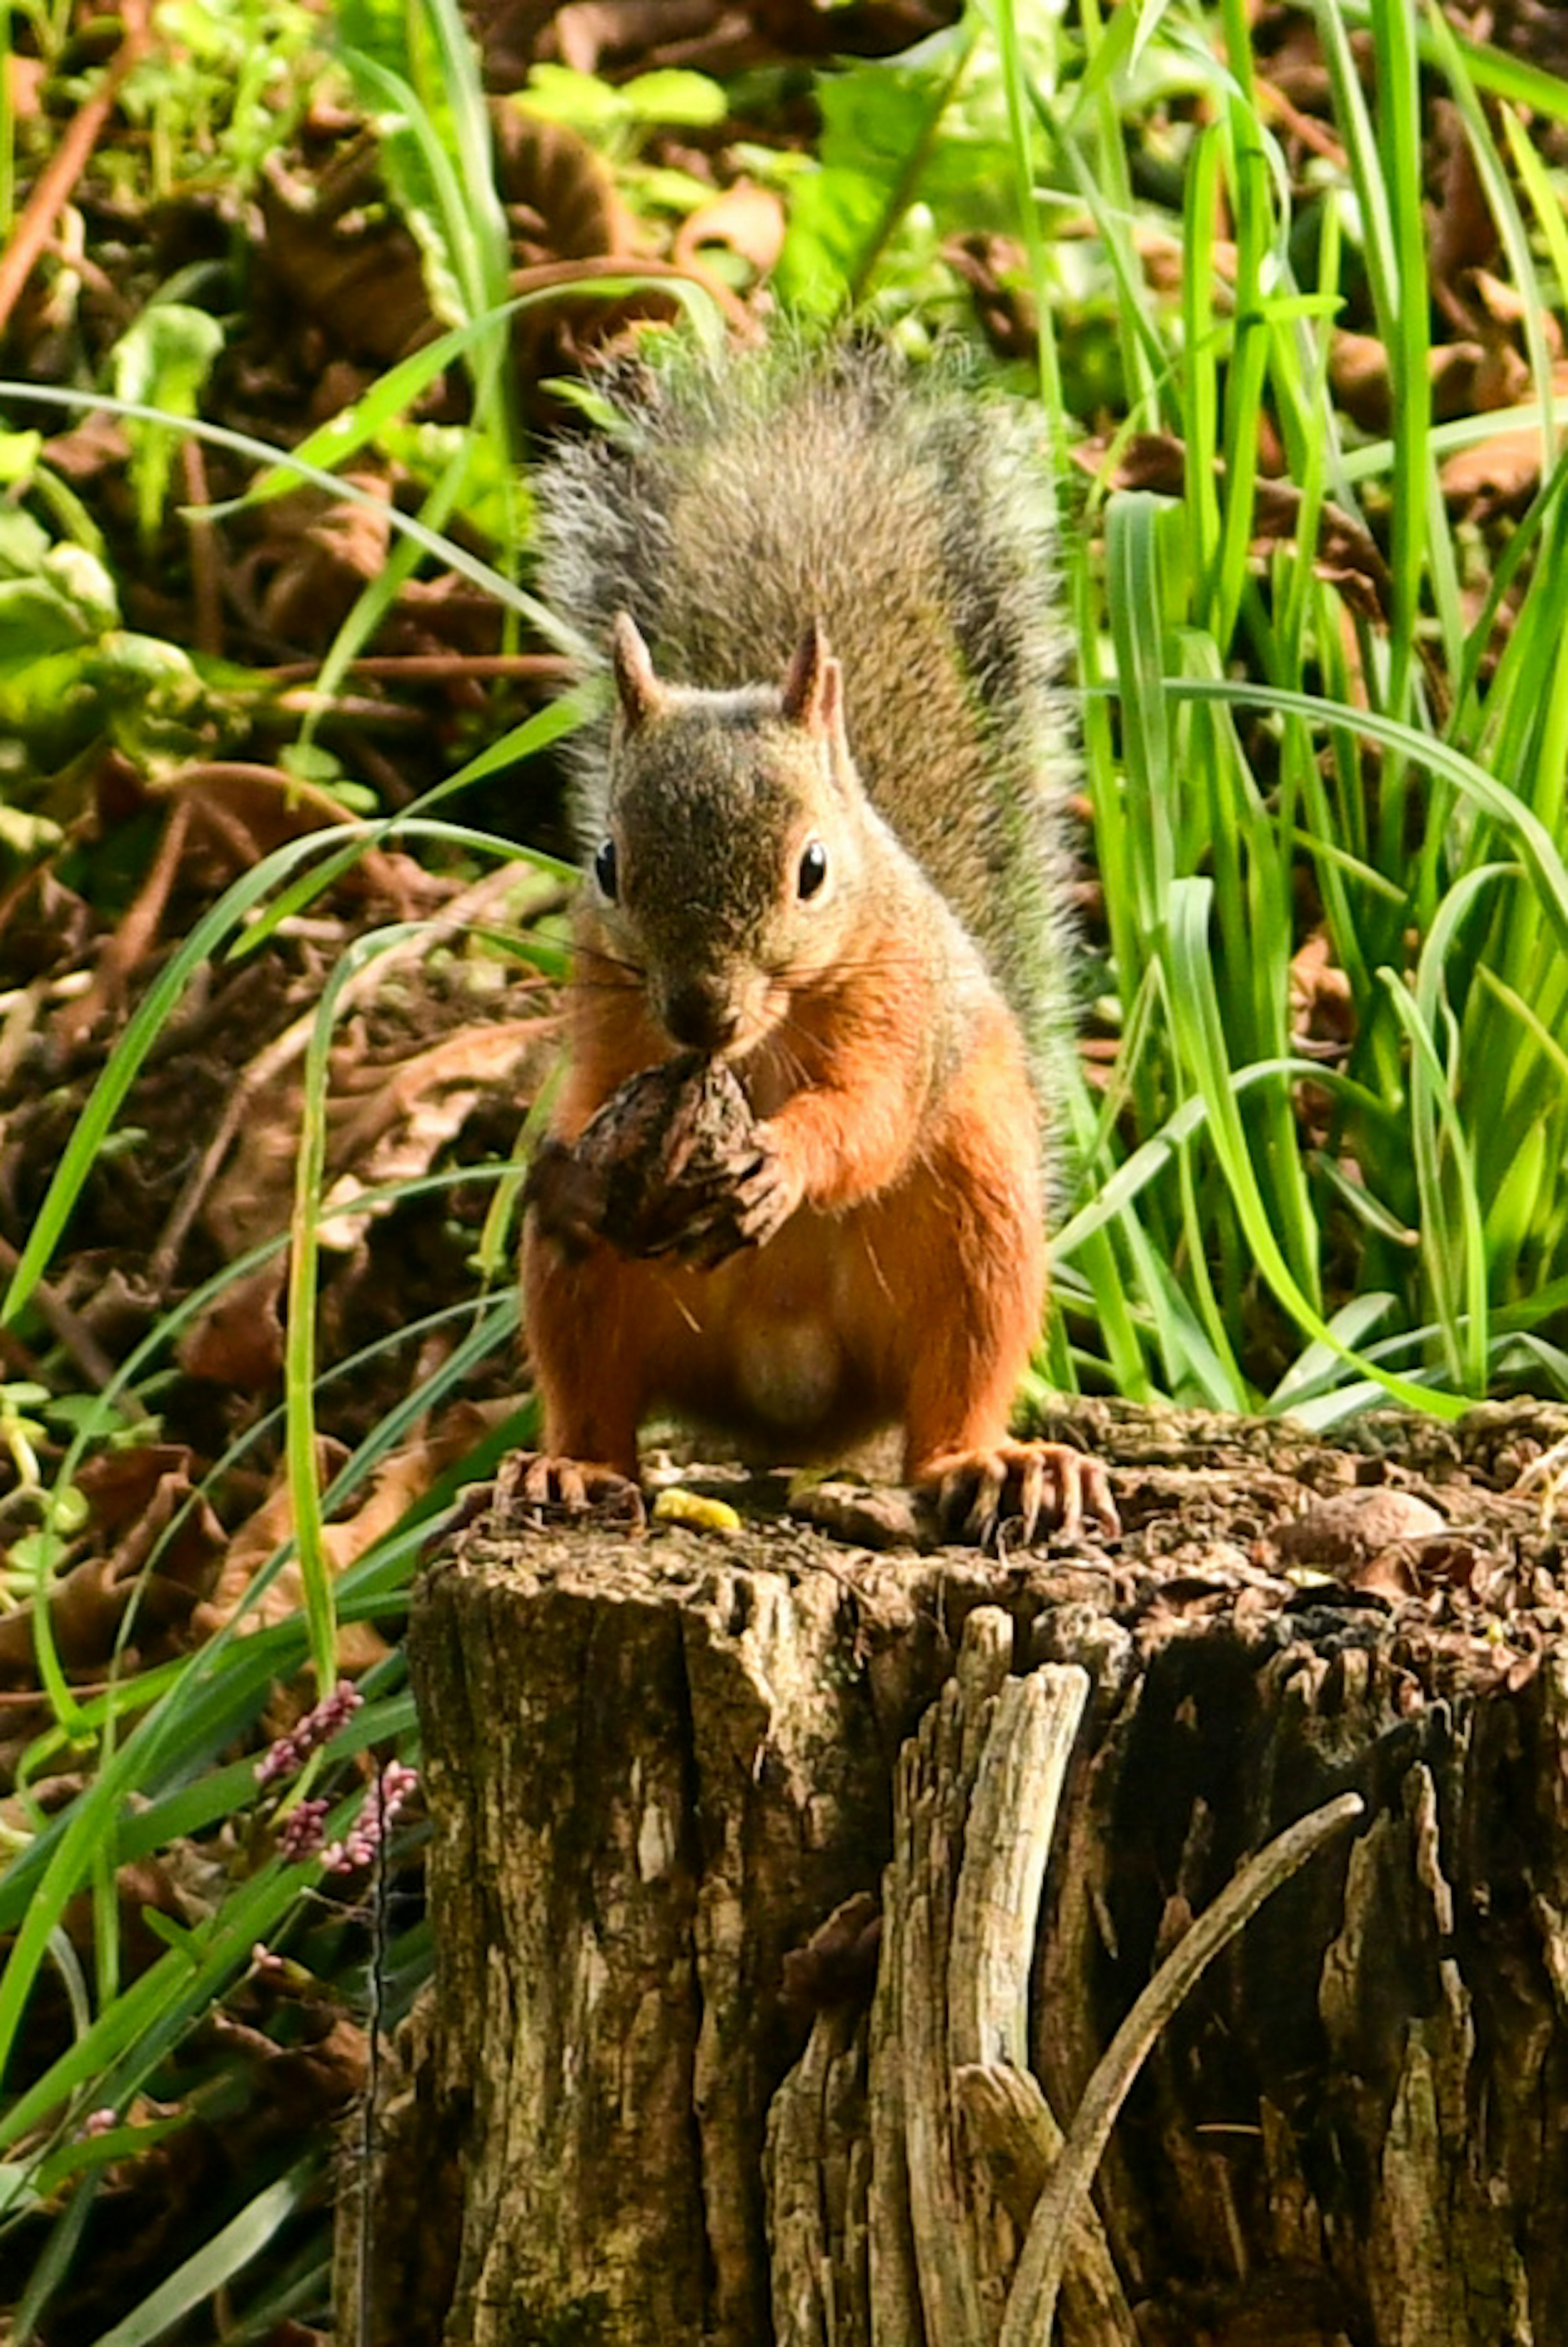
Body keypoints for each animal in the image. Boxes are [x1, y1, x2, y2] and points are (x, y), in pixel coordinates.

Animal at [521, 335, 1122, 1539]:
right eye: (607, 862)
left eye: (812, 870)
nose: (699, 1011)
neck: (749, 1053)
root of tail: (788, 1415)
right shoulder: (608, 1007)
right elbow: (592, 1098)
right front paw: (577, 1163)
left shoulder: (897, 1011)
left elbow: (870, 1115)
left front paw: (784, 1160)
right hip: (582, 1290)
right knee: (594, 1399)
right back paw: (566, 1468)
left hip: (977, 1231)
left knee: (952, 1395)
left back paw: (998, 1466)